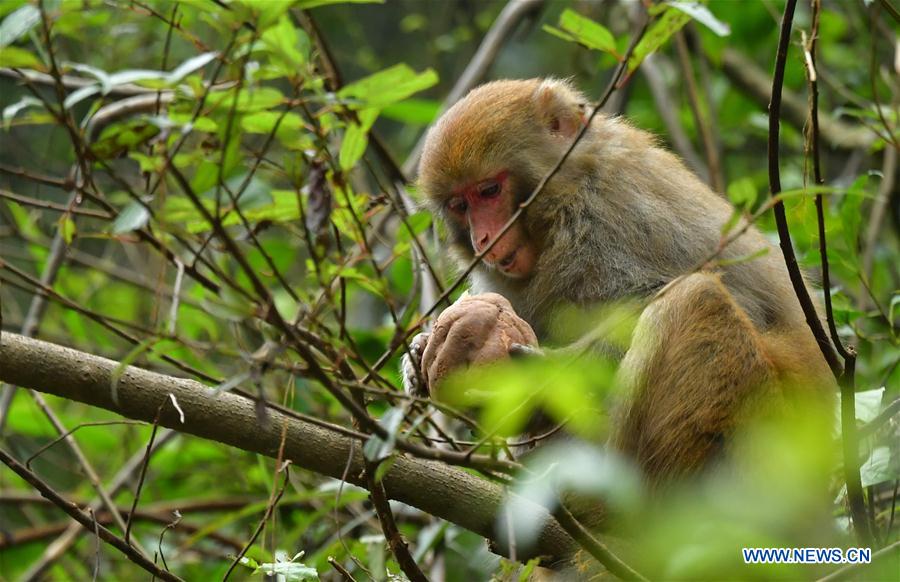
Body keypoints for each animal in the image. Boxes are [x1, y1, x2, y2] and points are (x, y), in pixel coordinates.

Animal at [402, 76, 836, 488]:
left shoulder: (611, 217)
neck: (562, 202)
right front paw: (420, 354)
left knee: (695, 298)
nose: (483, 239)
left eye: (489, 190)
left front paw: (543, 374)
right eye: (460, 205)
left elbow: (712, 298)